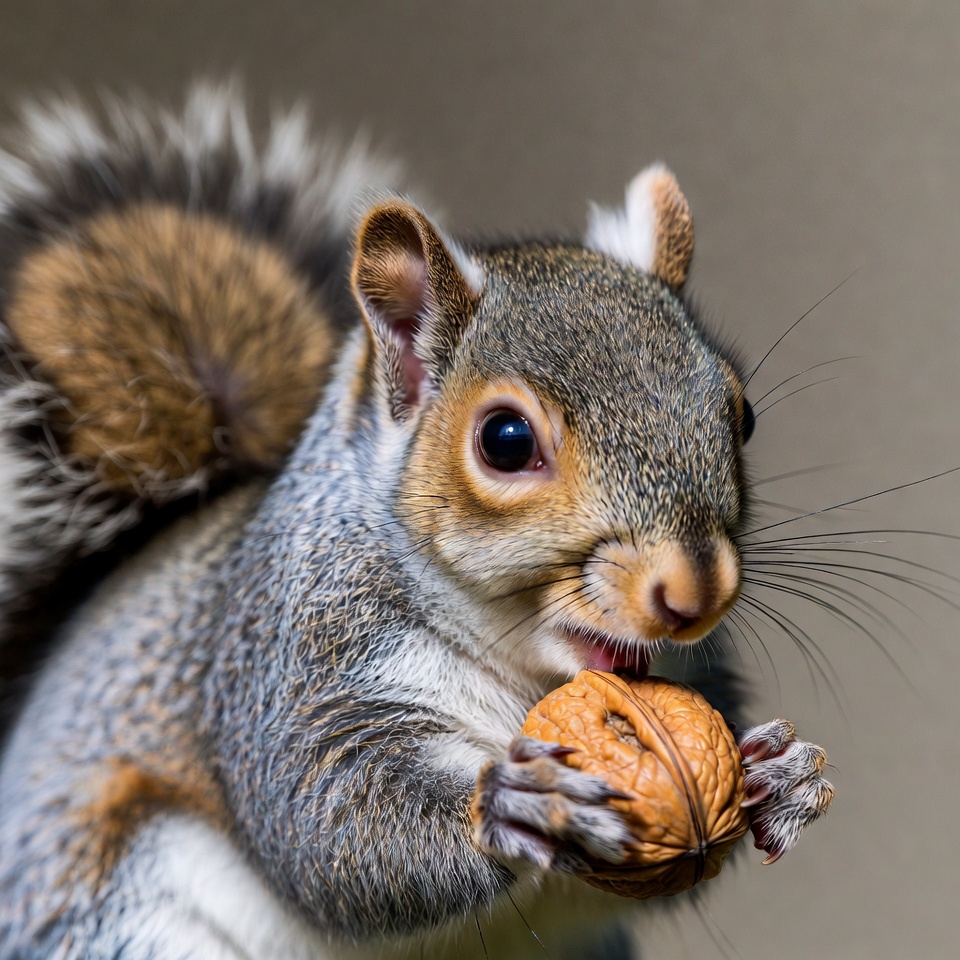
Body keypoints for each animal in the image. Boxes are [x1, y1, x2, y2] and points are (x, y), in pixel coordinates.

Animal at [0, 85, 834, 960]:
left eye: (741, 415)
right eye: (506, 440)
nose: (694, 594)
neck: (525, 672)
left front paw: (782, 773)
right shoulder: (294, 670)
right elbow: (323, 816)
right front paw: (509, 801)